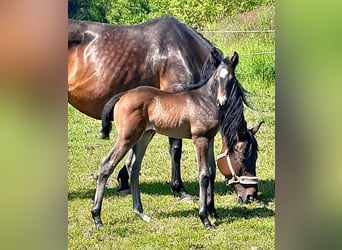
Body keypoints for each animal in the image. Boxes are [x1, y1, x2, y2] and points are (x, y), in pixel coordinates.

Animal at [91, 49, 262, 229]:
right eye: (216, 79)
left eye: (231, 79)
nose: (222, 101)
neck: (204, 101)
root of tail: (123, 95)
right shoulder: (199, 139)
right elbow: (203, 174)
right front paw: (205, 218)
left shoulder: (210, 138)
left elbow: (212, 171)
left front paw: (213, 212)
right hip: (127, 137)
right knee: (107, 164)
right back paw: (97, 217)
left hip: (144, 136)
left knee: (134, 166)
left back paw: (141, 213)